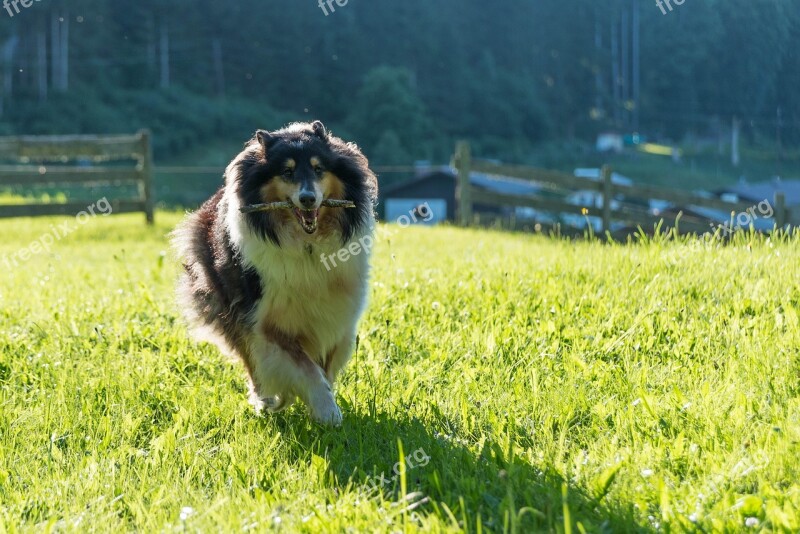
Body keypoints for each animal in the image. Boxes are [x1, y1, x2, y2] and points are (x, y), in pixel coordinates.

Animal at [173, 121, 378, 428]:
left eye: (318, 168)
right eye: (287, 171)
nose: (308, 199)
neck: (307, 247)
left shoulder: (337, 317)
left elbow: (325, 367)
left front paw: (322, 404)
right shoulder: (266, 322)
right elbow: (304, 369)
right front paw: (326, 411)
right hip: (229, 306)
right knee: (250, 358)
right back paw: (265, 400)